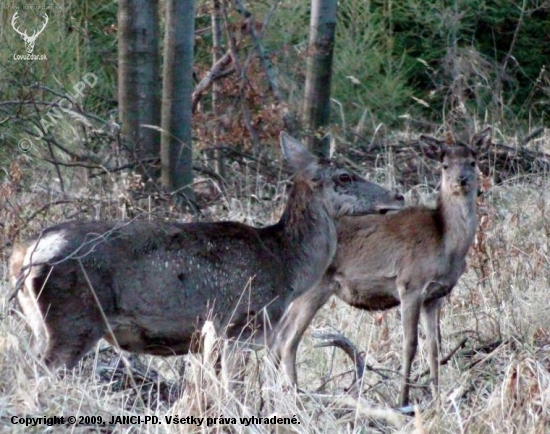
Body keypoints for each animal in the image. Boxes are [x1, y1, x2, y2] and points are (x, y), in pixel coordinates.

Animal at [8, 132, 406, 370]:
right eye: (344, 177)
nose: (398, 195)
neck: (286, 264)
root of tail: (23, 256)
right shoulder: (243, 325)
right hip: (73, 319)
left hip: (40, 322)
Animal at [272, 128, 492, 406]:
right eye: (444, 166)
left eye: (472, 162)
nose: (461, 180)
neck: (445, 243)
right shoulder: (410, 284)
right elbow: (410, 344)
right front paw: (403, 399)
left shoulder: (435, 296)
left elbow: (435, 346)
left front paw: (438, 397)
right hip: (316, 287)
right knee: (287, 339)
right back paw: (295, 395)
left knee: (279, 335)